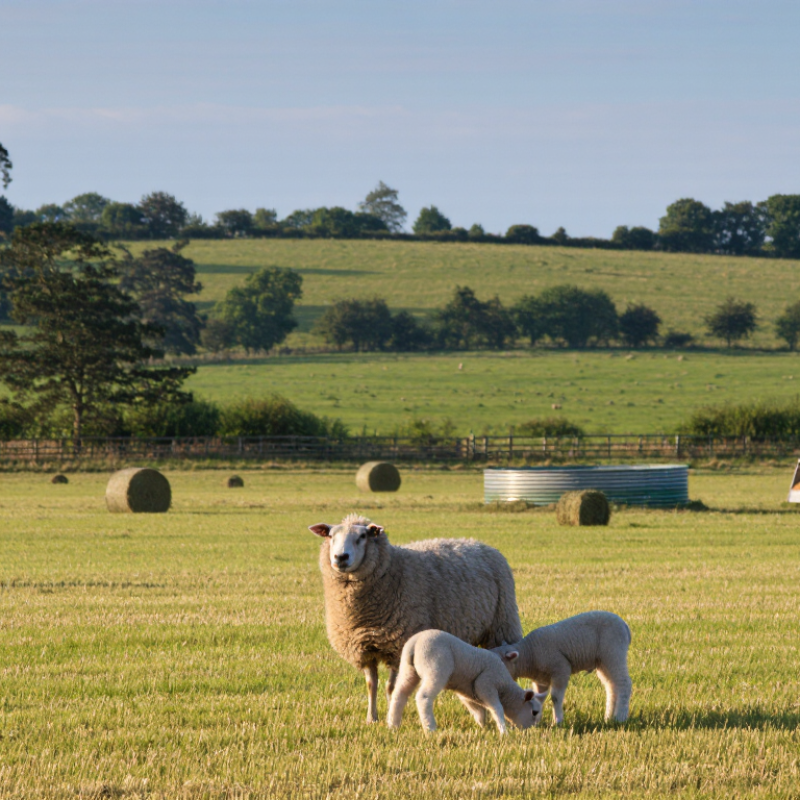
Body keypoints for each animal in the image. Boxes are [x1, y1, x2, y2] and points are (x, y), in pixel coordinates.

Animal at [308, 514, 523, 723]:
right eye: (330, 536)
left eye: (362, 536)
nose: (340, 557)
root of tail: (479, 543)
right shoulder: (363, 648)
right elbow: (371, 685)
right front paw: (371, 719)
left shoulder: (398, 646)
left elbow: (391, 687)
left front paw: (391, 716)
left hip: (502, 625)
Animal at [387, 629, 543, 734]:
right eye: (534, 712)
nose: (532, 730)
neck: (505, 688)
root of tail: (416, 641)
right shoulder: (486, 684)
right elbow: (497, 708)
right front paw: (503, 731)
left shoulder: (469, 693)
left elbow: (478, 711)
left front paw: (483, 727)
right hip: (435, 667)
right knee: (423, 697)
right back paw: (430, 728)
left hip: (408, 669)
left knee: (399, 694)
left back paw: (393, 725)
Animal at [491, 611, 632, 724]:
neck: (529, 653)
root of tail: (625, 626)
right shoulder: (540, 680)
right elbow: (538, 698)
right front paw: (536, 719)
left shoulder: (560, 669)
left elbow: (555, 698)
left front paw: (558, 721)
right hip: (603, 662)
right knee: (612, 687)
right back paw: (609, 717)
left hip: (613, 652)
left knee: (624, 684)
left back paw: (620, 717)